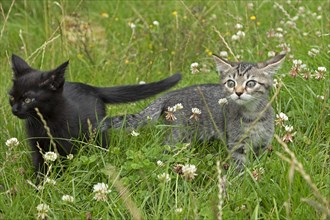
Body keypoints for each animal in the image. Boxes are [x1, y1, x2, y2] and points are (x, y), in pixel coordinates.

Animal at [8, 55, 180, 177]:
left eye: (28, 100)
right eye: (12, 97)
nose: (15, 109)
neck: (44, 122)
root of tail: (94, 89)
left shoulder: (67, 146)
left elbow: (63, 165)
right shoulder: (37, 146)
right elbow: (40, 166)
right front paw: (40, 187)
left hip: (97, 133)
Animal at [111, 52, 286, 168]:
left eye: (250, 83)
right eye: (231, 83)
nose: (238, 92)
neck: (253, 114)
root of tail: (170, 94)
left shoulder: (263, 144)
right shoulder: (237, 144)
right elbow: (240, 167)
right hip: (177, 135)